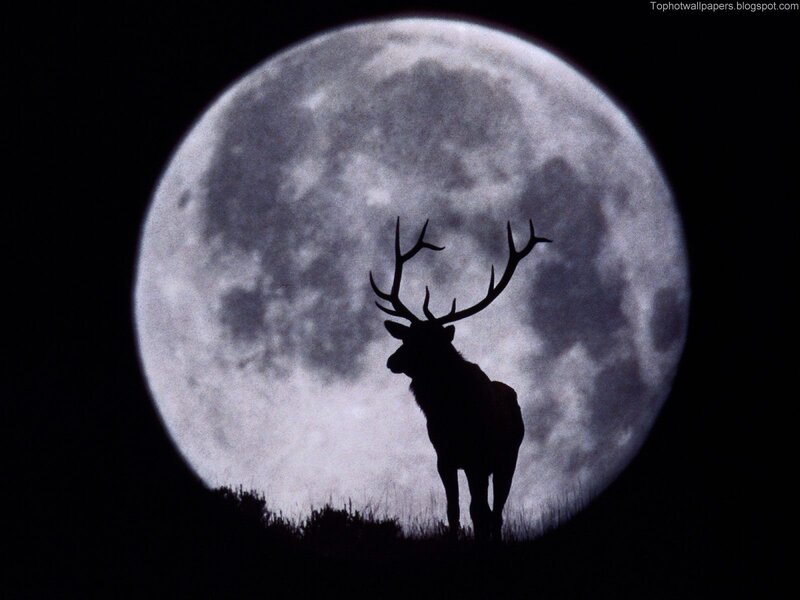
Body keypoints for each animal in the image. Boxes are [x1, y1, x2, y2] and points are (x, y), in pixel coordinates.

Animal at [370, 217, 551, 542]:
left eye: (428, 342)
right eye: (406, 337)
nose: (392, 361)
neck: (450, 412)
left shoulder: (478, 457)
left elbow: (478, 511)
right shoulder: (445, 457)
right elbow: (453, 511)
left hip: (507, 459)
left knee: (495, 512)